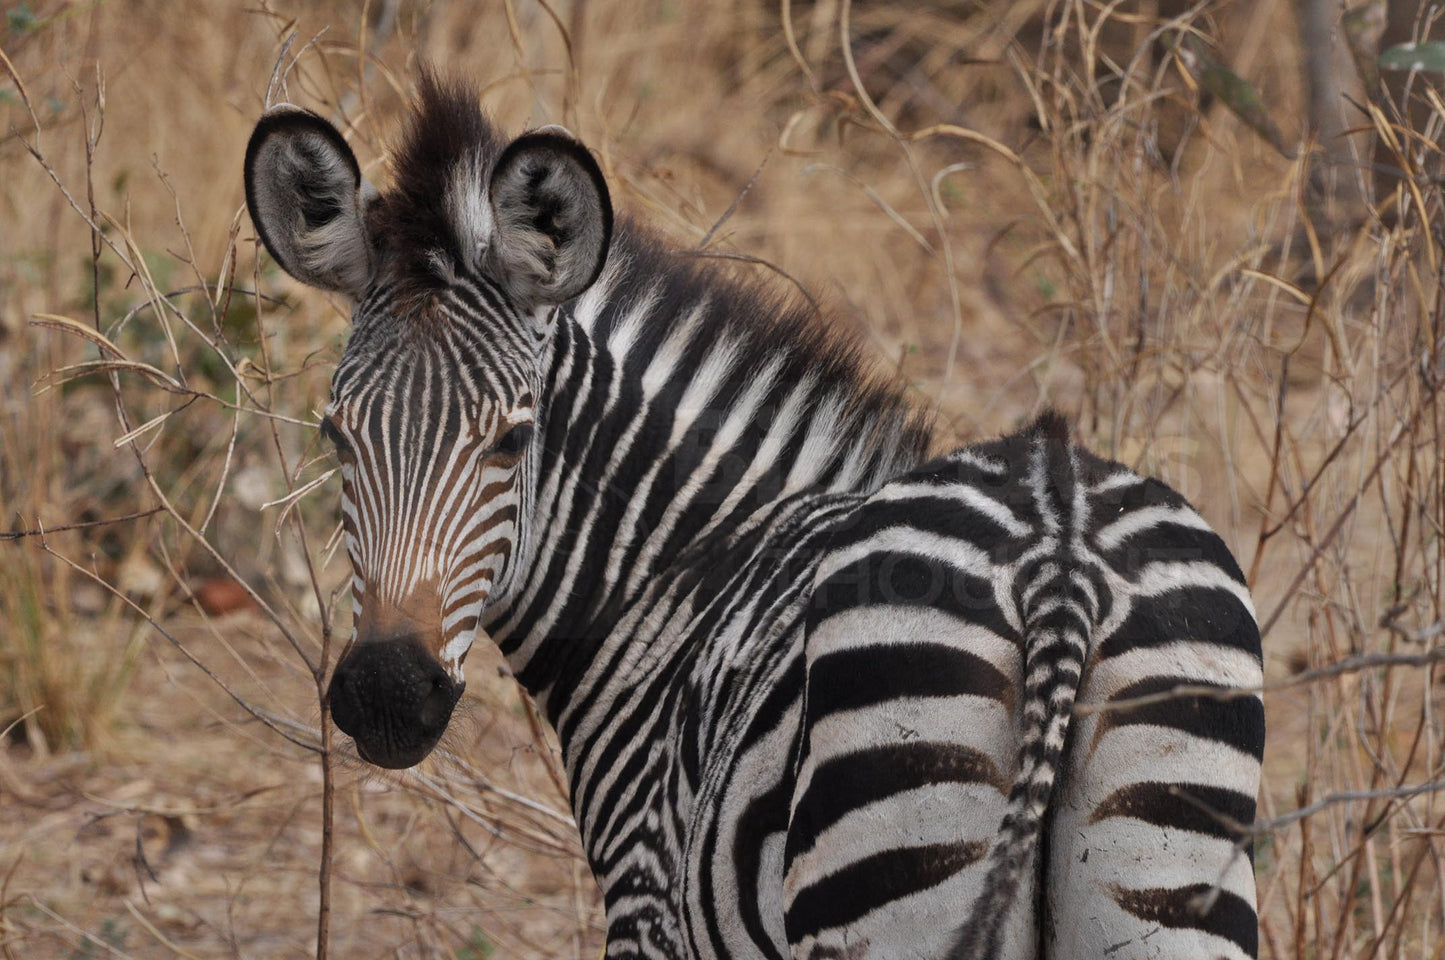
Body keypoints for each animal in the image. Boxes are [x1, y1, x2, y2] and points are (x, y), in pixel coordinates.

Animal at [242, 71, 1260, 954]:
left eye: (512, 440)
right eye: (334, 435)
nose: (385, 696)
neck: (678, 581)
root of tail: (1060, 557)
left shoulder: (648, 908)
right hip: (1168, 876)